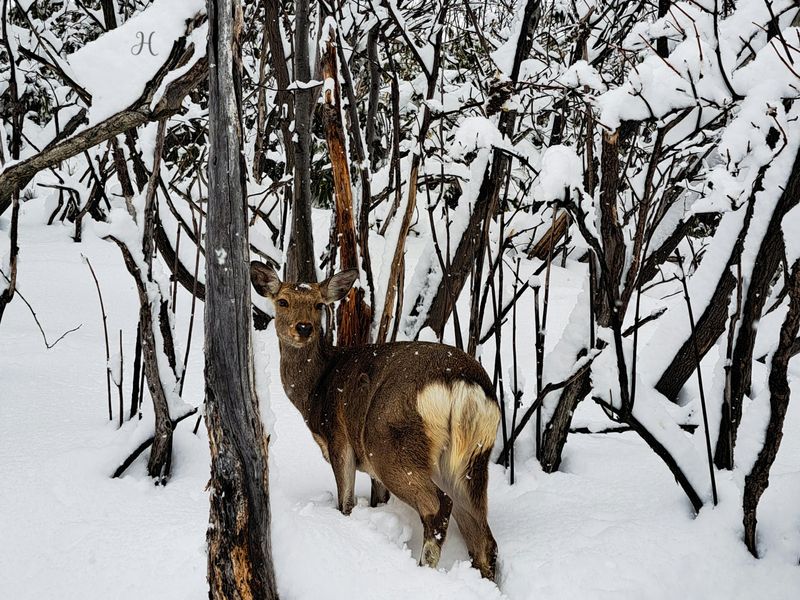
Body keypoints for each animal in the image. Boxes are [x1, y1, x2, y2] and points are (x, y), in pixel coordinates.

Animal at [250, 262, 501, 580]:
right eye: (283, 301)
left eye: (319, 304)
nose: (304, 328)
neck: (316, 391)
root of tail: (461, 384)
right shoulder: (370, 469)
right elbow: (376, 500)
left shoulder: (339, 439)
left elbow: (345, 502)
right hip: (472, 458)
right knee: (484, 539)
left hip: (388, 442)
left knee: (439, 506)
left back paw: (423, 568)